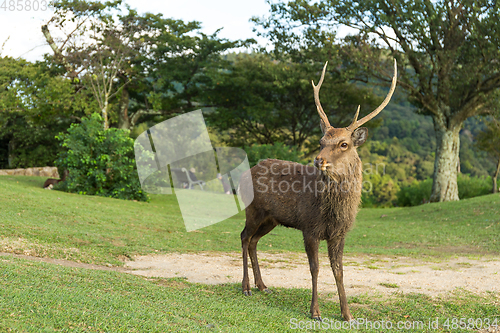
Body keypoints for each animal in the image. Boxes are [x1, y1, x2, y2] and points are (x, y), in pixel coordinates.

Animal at [239, 59, 398, 320]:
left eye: (344, 144)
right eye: (321, 141)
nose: (318, 160)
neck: (332, 213)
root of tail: (245, 173)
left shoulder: (340, 234)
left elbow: (339, 270)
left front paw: (347, 313)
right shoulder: (310, 228)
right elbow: (315, 268)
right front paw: (315, 311)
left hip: (271, 219)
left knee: (253, 241)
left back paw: (262, 285)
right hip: (253, 209)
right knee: (244, 237)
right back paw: (246, 287)